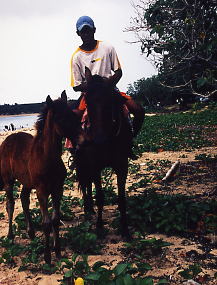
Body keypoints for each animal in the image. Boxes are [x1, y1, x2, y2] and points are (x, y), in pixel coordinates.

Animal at [0, 91, 81, 262]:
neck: (47, 158)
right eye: (60, 118)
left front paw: (57, 251)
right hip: (8, 181)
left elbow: (56, 220)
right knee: (10, 204)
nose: (81, 139)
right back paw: (10, 236)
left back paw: (31, 234)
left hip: (26, 182)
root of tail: (7, 140)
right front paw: (47, 256)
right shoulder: (42, 191)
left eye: (74, 115)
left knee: (24, 199)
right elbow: (46, 223)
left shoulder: (58, 189)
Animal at [75, 67, 145, 237]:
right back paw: (88, 211)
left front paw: (125, 229)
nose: (99, 141)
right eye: (87, 101)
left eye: (110, 101)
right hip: (82, 163)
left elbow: (121, 197)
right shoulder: (95, 166)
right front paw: (99, 227)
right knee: (85, 184)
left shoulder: (122, 165)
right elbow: (100, 196)